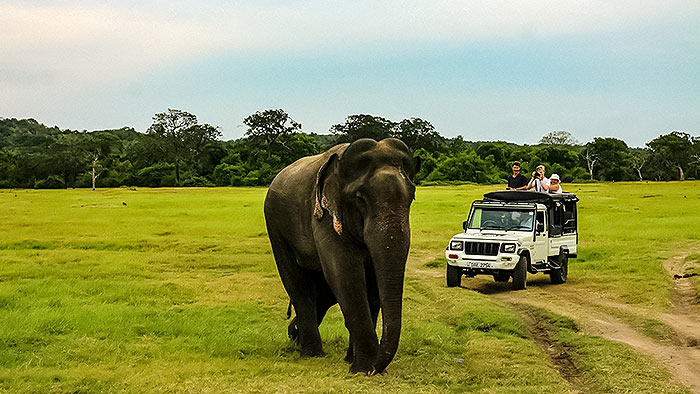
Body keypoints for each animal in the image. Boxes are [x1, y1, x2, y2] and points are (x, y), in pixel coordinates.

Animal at [262, 139, 416, 376]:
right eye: (360, 199)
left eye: (412, 197)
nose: (377, 368)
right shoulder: (325, 216)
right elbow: (344, 273)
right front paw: (363, 369)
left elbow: (371, 282)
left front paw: (356, 362)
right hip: (275, 227)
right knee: (297, 284)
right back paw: (311, 353)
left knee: (321, 294)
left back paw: (295, 335)